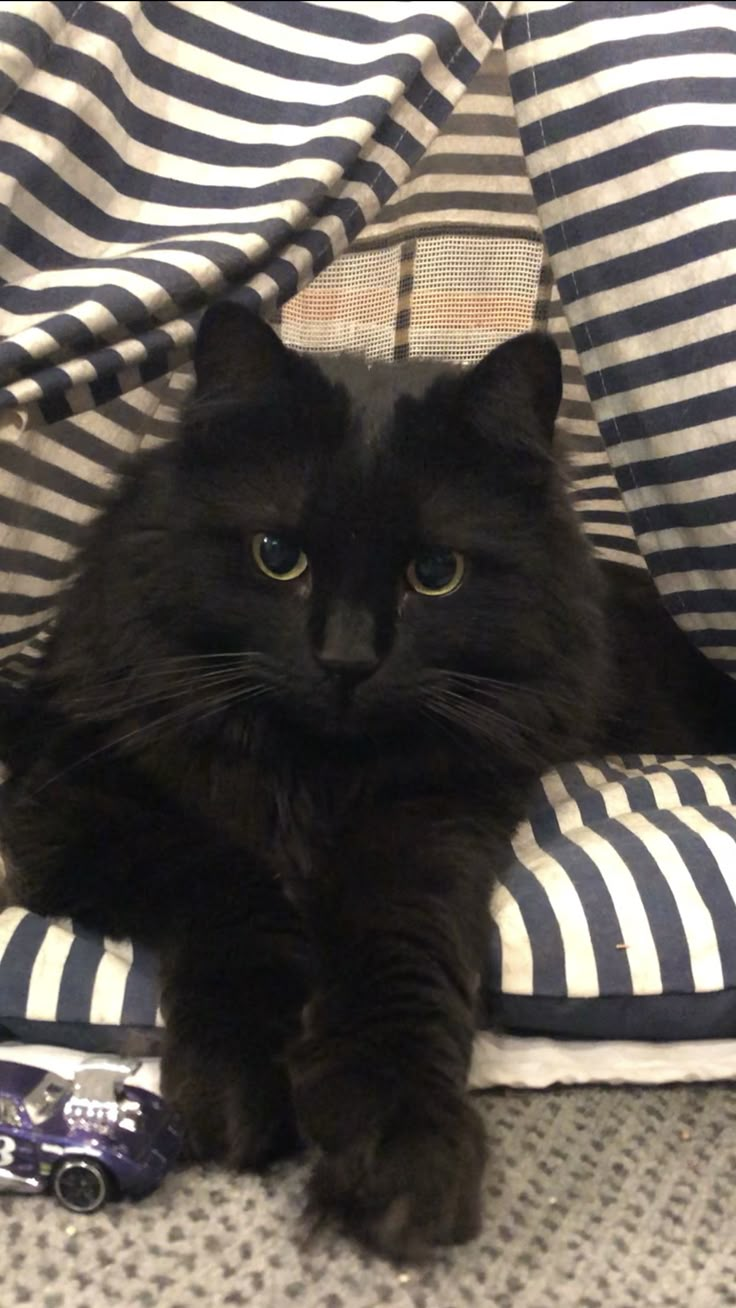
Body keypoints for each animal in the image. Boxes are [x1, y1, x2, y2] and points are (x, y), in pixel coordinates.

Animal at [1, 303, 736, 1255]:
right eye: (278, 555)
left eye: (436, 574)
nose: (347, 660)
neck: (313, 771)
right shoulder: (84, 803)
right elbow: (235, 899)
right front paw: (243, 1080)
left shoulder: (427, 823)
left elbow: (399, 964)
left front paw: (399, 1154)